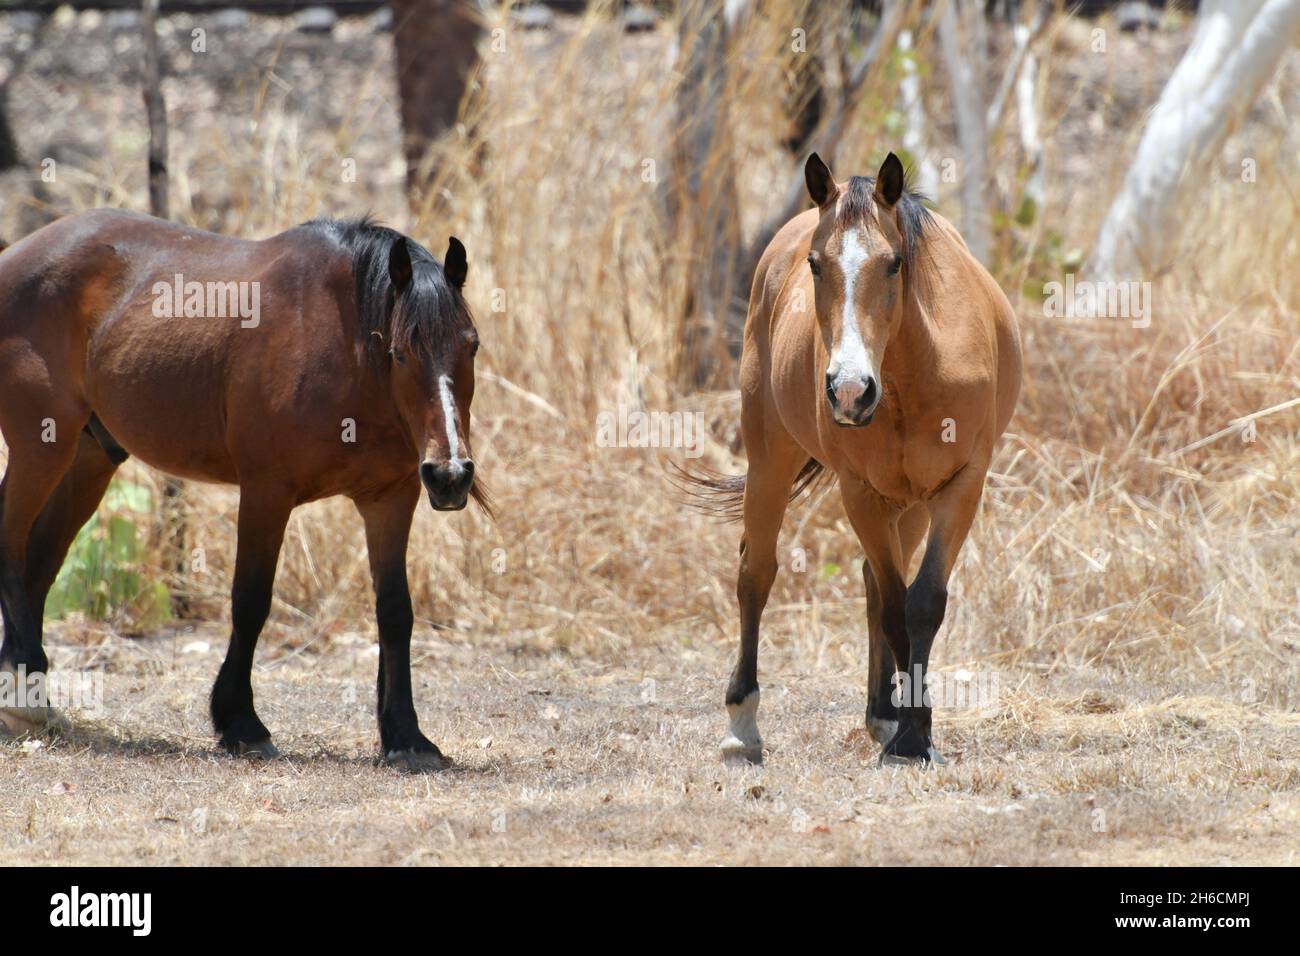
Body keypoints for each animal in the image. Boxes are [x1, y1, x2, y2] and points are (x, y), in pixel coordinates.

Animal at [0, 208, 486, 770]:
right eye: (402, 352)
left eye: (471, 344)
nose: (450, 474)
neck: (342, 343)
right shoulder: (265, 491)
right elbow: (251, 601)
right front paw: (241, 723)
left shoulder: (390, 499)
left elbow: (395, 611)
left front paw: (406, 736)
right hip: (41, 448)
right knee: (11, 545)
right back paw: (24, 691)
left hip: (89, 458)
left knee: (39, 563)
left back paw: (27, 693)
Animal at [686, 155, 1019, 770]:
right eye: (816, 265)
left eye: (893, 264)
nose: (848, 391)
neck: (910, 375)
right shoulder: (859, 491)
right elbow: (894, 606)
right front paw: (912, 737)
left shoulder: (960, 486)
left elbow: (922, 603)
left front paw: (913, 732)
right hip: (771, 461)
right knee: (756, 573)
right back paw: (742, 726)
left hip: (909, 504)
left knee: (873, 581)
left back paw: (882, 716)